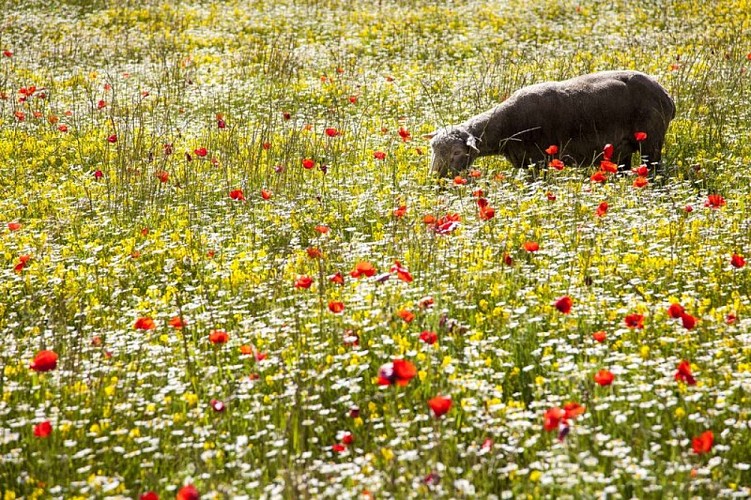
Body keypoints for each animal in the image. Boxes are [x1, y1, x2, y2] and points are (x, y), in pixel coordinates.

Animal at [423, 70, 676, 177]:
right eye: (433, 150)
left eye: (457, 152)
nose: (437, 178)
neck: (506, 128)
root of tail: (665, 95)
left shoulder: (539, 161)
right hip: (623, 149)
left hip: (651, 141)